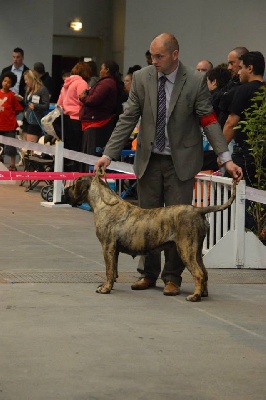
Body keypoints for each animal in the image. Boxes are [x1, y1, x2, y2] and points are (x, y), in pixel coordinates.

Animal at [66, 173, 235, 302]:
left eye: (73, 185)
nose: (65, 190)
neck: (105, 203)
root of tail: (197, 210)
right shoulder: (114, 250)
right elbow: (113, 270)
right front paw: (109, 285)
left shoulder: (107, 247)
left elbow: (108, 270)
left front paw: (105, 289)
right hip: (196, 250)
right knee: (204, 272)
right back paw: (203, 293)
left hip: (186, 249)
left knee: (198, 273)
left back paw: (194, 296)